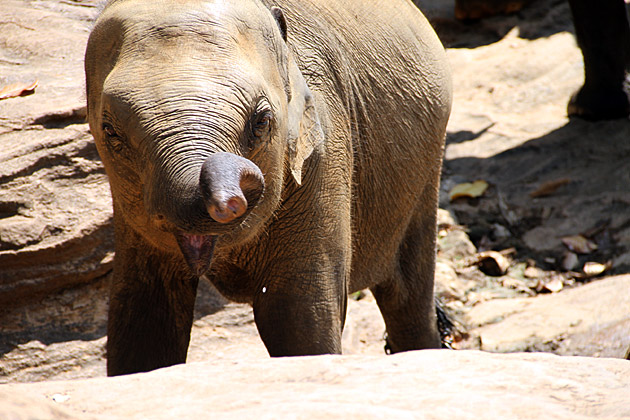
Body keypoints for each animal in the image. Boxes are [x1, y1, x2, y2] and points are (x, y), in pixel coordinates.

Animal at [86, 0, 454, 376]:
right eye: (110, 131)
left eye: (261, 122)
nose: (230, 199)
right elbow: (144, 316)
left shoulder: (323, 150)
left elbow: (296, 315)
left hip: (425, 167)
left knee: (408, 297)